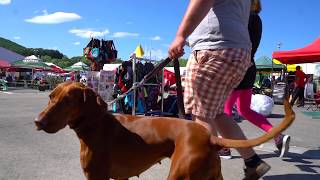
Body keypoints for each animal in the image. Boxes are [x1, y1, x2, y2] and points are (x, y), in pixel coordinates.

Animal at [35, 82, 296, 179]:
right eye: (50, 97)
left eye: (67, 101)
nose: (38, 122)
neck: (95, 124)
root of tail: (209, 136)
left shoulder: (96, 177)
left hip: (180, 174)